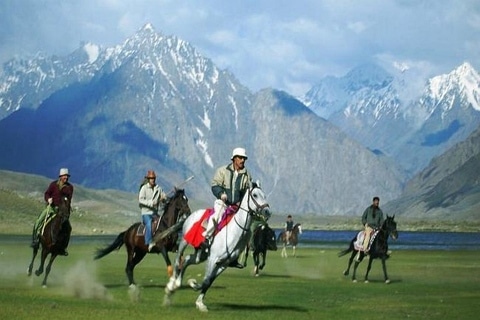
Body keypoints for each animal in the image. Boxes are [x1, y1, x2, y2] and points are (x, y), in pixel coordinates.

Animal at [164, 181, 270, 312]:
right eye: (255, 195)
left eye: (264, 195)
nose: (267, 211)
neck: (234, 231)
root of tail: (190, 215)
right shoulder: (213, 258)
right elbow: (206, 280)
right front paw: (193, 285)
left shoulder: (223, 263)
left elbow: (208, 281)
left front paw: (199, 300)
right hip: (184, 241)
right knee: (178, 260)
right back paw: (171, 285)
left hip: (201, 254)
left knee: (187, 259)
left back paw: (177, 284)